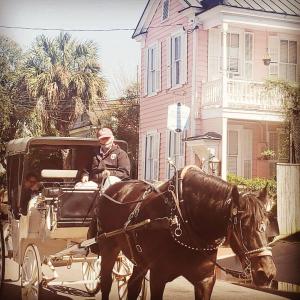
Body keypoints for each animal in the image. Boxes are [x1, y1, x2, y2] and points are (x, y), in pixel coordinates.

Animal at [88, 165, 276, 298]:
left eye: (266, 224)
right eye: (244, 226)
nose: (267, 273)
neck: (182, 218)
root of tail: (108, 191)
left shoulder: (205, 280)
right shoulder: (158, 277)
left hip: (139, 260)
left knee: (133, 286)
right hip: (108, 248)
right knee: (106, 283)